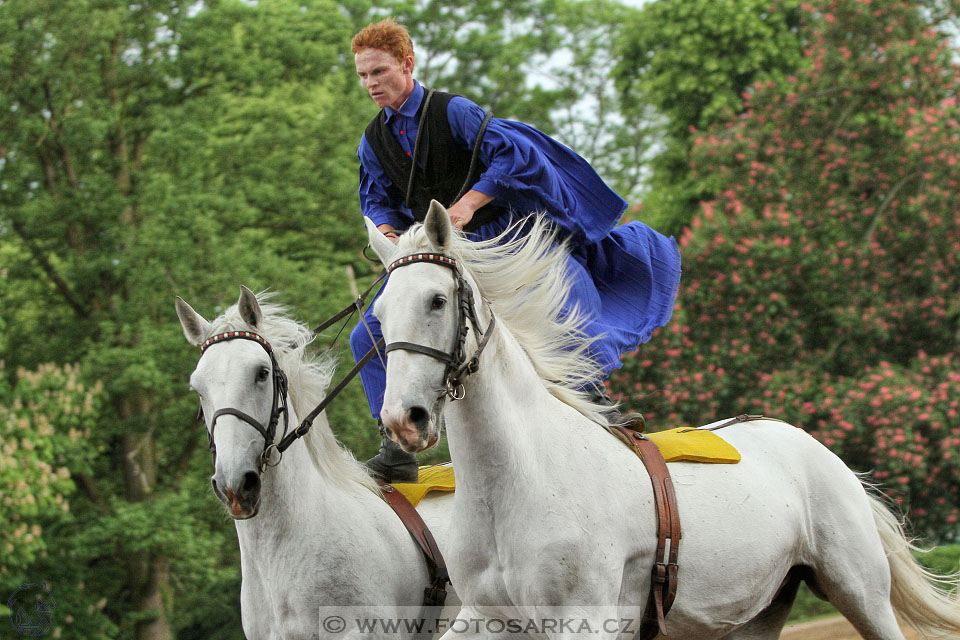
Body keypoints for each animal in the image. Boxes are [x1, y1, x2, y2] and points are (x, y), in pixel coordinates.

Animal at [366, 204, 960, 640]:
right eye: (378, 316)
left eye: (437, 299)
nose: (404, 419)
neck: (517, 483)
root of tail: (813, 447)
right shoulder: (487, 616)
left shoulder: (582, 619)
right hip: (757, 613)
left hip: (859, 589)